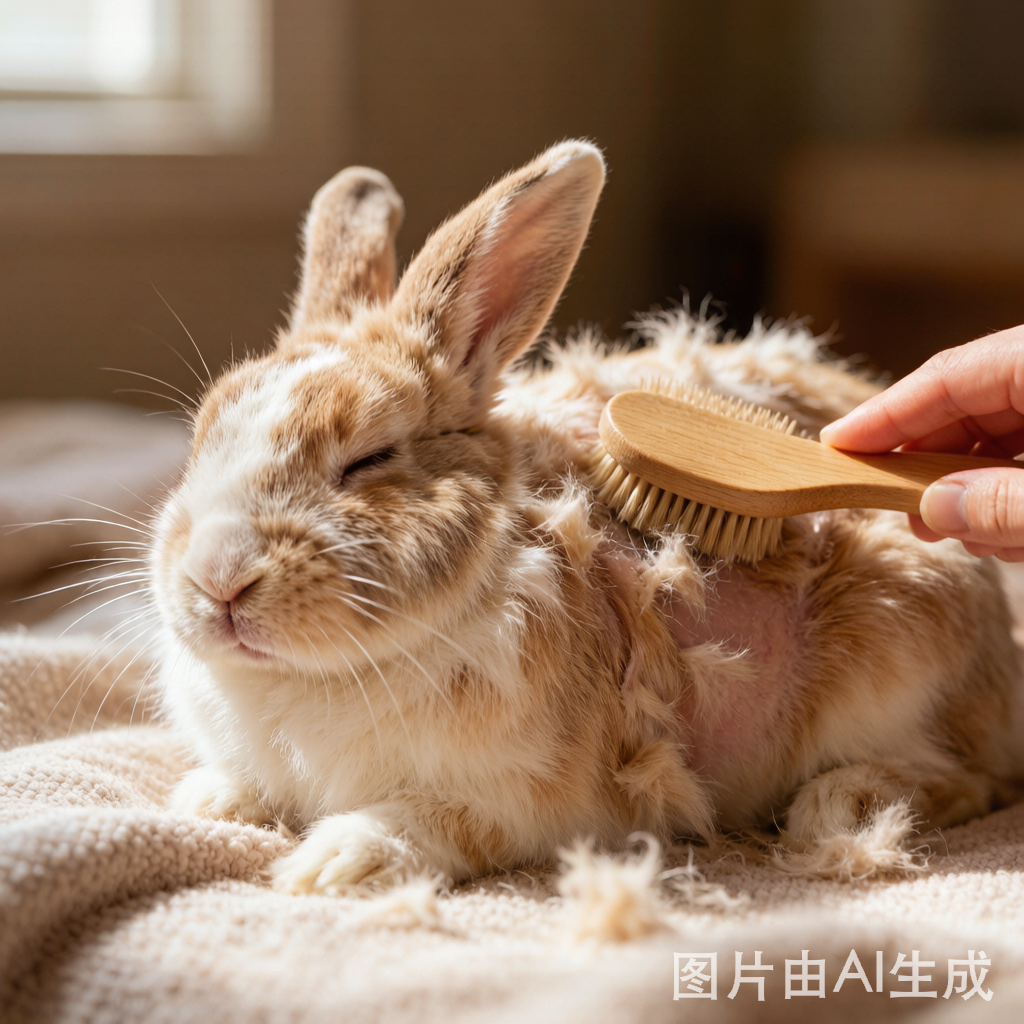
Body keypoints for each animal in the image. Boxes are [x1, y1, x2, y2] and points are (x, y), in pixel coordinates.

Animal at [152, 140, 1024, 893]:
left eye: (369, 458)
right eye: (199, 440)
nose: (218, 582)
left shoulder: (532, 801)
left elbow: (433, 823)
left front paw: (335, 865)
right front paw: (207, 801)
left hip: (895, 650)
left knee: (968, 781)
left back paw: (836, 809)